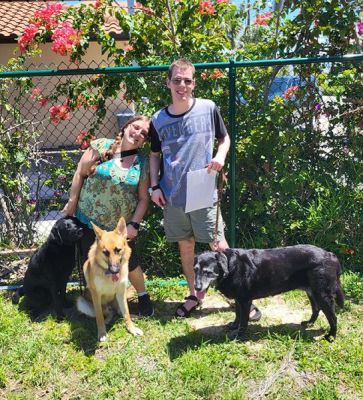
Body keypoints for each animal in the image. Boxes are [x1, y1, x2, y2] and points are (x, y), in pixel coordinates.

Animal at [195, 244, 346, 340]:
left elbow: (244, 321)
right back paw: (309, 323)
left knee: (333, 317)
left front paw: (239, 335)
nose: (196, 288)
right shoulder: (238, 299)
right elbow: (237, 315)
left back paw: (332, 336)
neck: (230, 267)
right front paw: (234, 325)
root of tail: (331, 255)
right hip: (312, 292)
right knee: (316, 309)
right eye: (195, 269)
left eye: (208, 272)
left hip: (323, 294)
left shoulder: (245, 300)